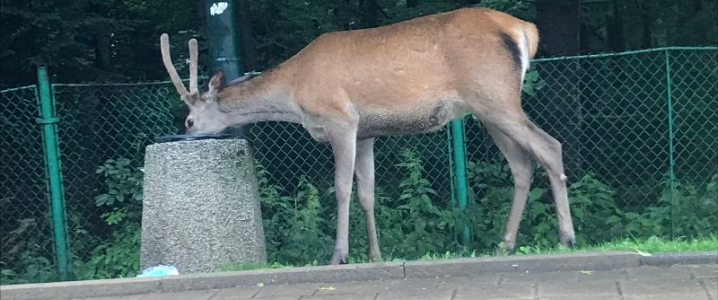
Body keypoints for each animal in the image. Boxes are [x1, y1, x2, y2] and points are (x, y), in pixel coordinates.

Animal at [160, 7, 576, 264]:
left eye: (189, 121)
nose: (183, 134)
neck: (295, 95)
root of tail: (525, 30)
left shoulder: (340, 120)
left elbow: (342, 189)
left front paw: (339, 255)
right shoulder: (367, 134)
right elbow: (367, 194)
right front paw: (376, 254)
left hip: (494, 95)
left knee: (549, 146)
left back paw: (566, 237)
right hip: (486, 107)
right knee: (522, 163)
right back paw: (505, 243)